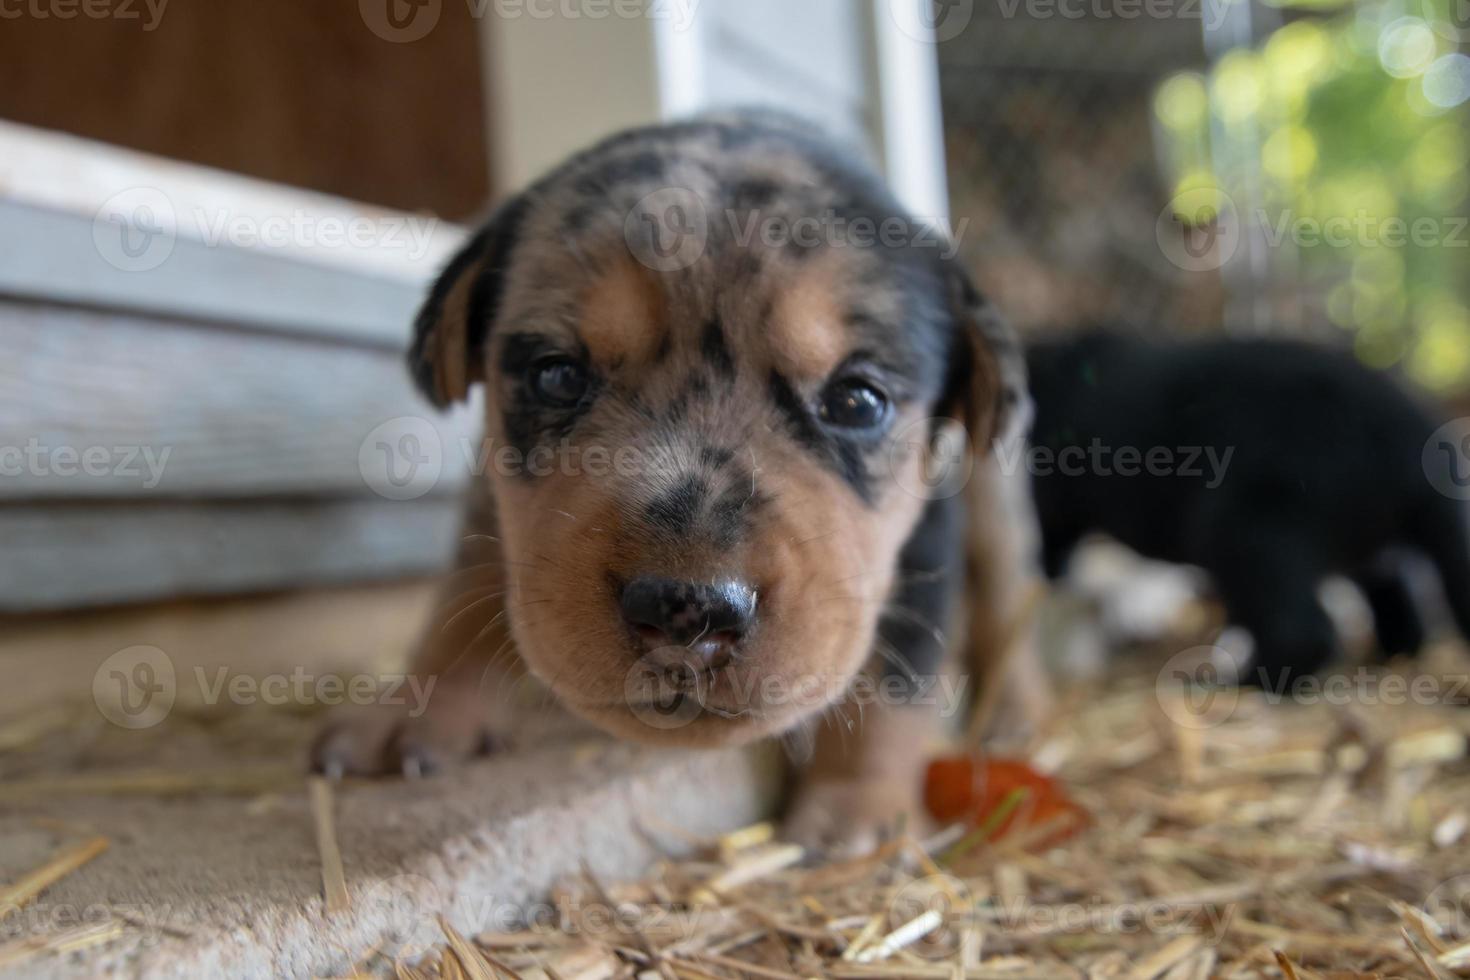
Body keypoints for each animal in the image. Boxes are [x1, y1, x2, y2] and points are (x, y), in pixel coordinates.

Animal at [311, 110, 1046, 852]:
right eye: (557, 375)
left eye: (857, 402)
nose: (687, 612)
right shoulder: (492, 494)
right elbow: (464, 594)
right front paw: (416, 709)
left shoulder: (927, 532)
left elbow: (898, 670)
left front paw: (861, 807)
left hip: (993, 490)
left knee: (1005, 593)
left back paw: (1013, 711)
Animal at [1023, 329, 1470, 690]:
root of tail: (1410, 446)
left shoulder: (1046, 498)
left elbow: (1048, 545)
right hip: (1360, 548)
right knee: (1398, 604)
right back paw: (1388, 657)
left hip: (1242, 531)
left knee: (1302, 631)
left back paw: (1242, 682)